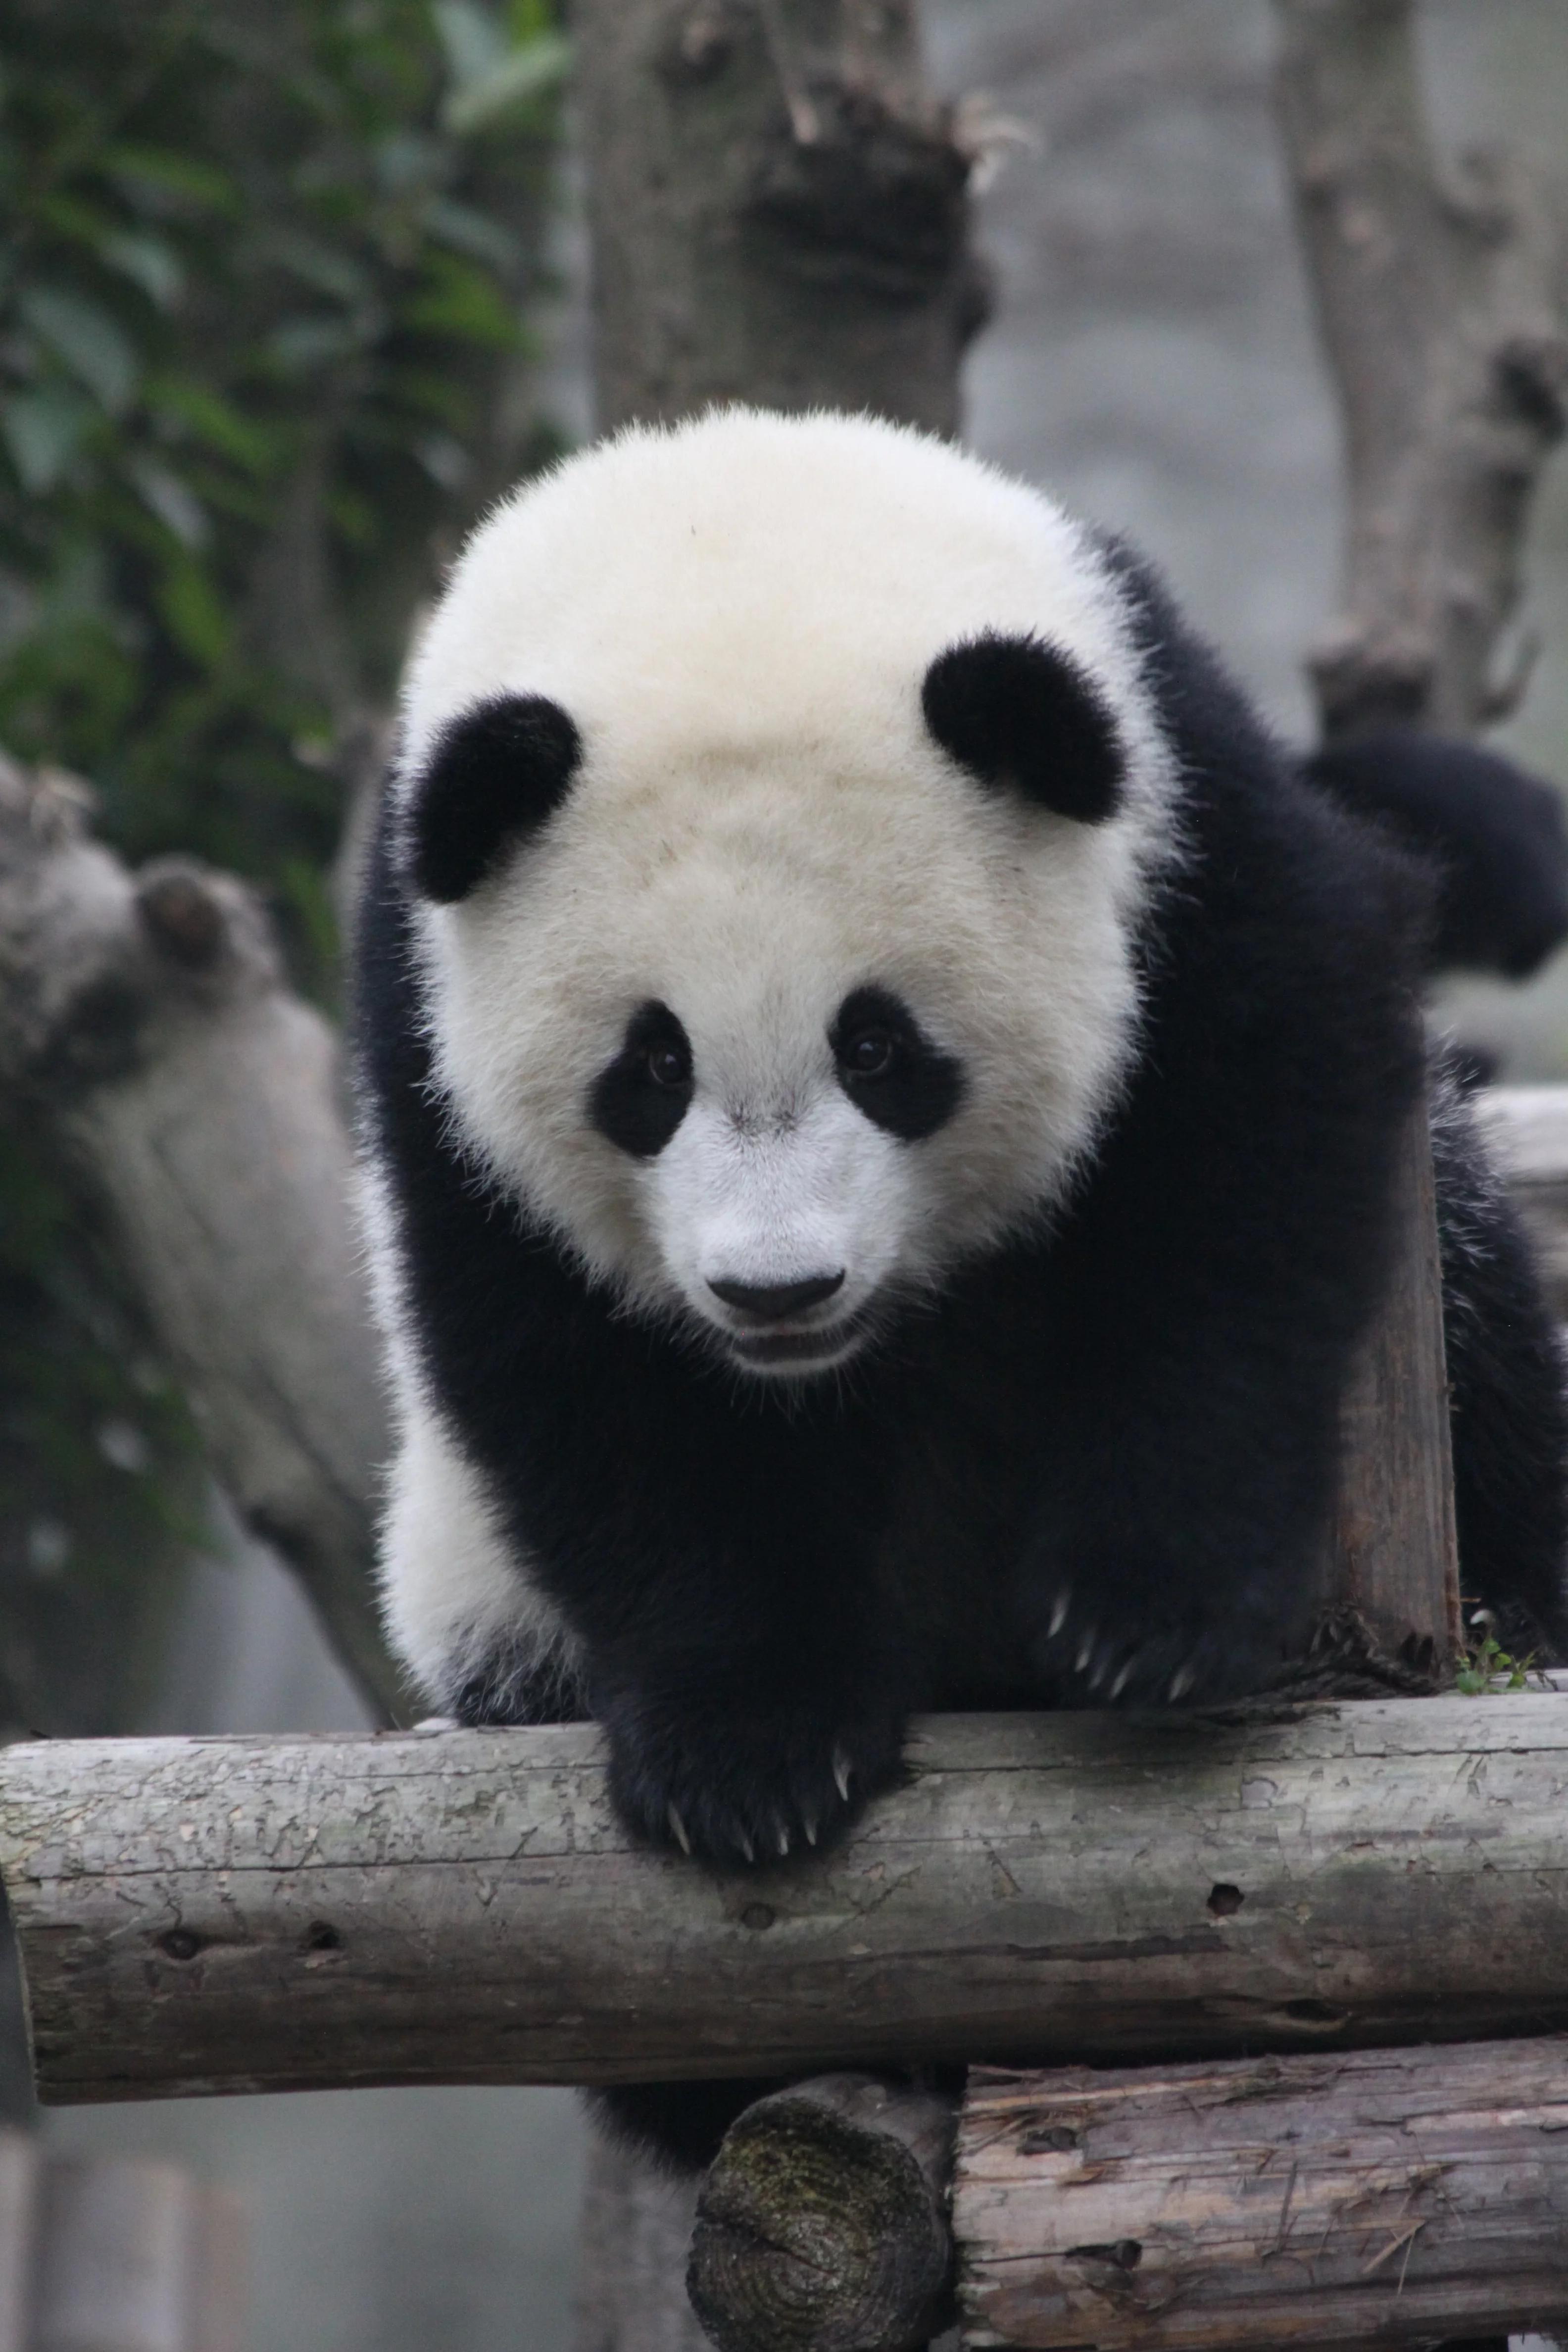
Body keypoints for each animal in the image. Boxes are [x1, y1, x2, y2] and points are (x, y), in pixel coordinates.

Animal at [354, 407, 1567, 2167]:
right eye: (649, 1071)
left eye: (881, 1048)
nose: (777, 1290)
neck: (728, 534)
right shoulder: (422, 1012)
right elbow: (566, 1366)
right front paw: (751, 1755)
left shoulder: (1180, 829)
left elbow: (1255, 1160)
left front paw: (1152, 1618)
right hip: (476, 1597)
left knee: (1476, 1300)